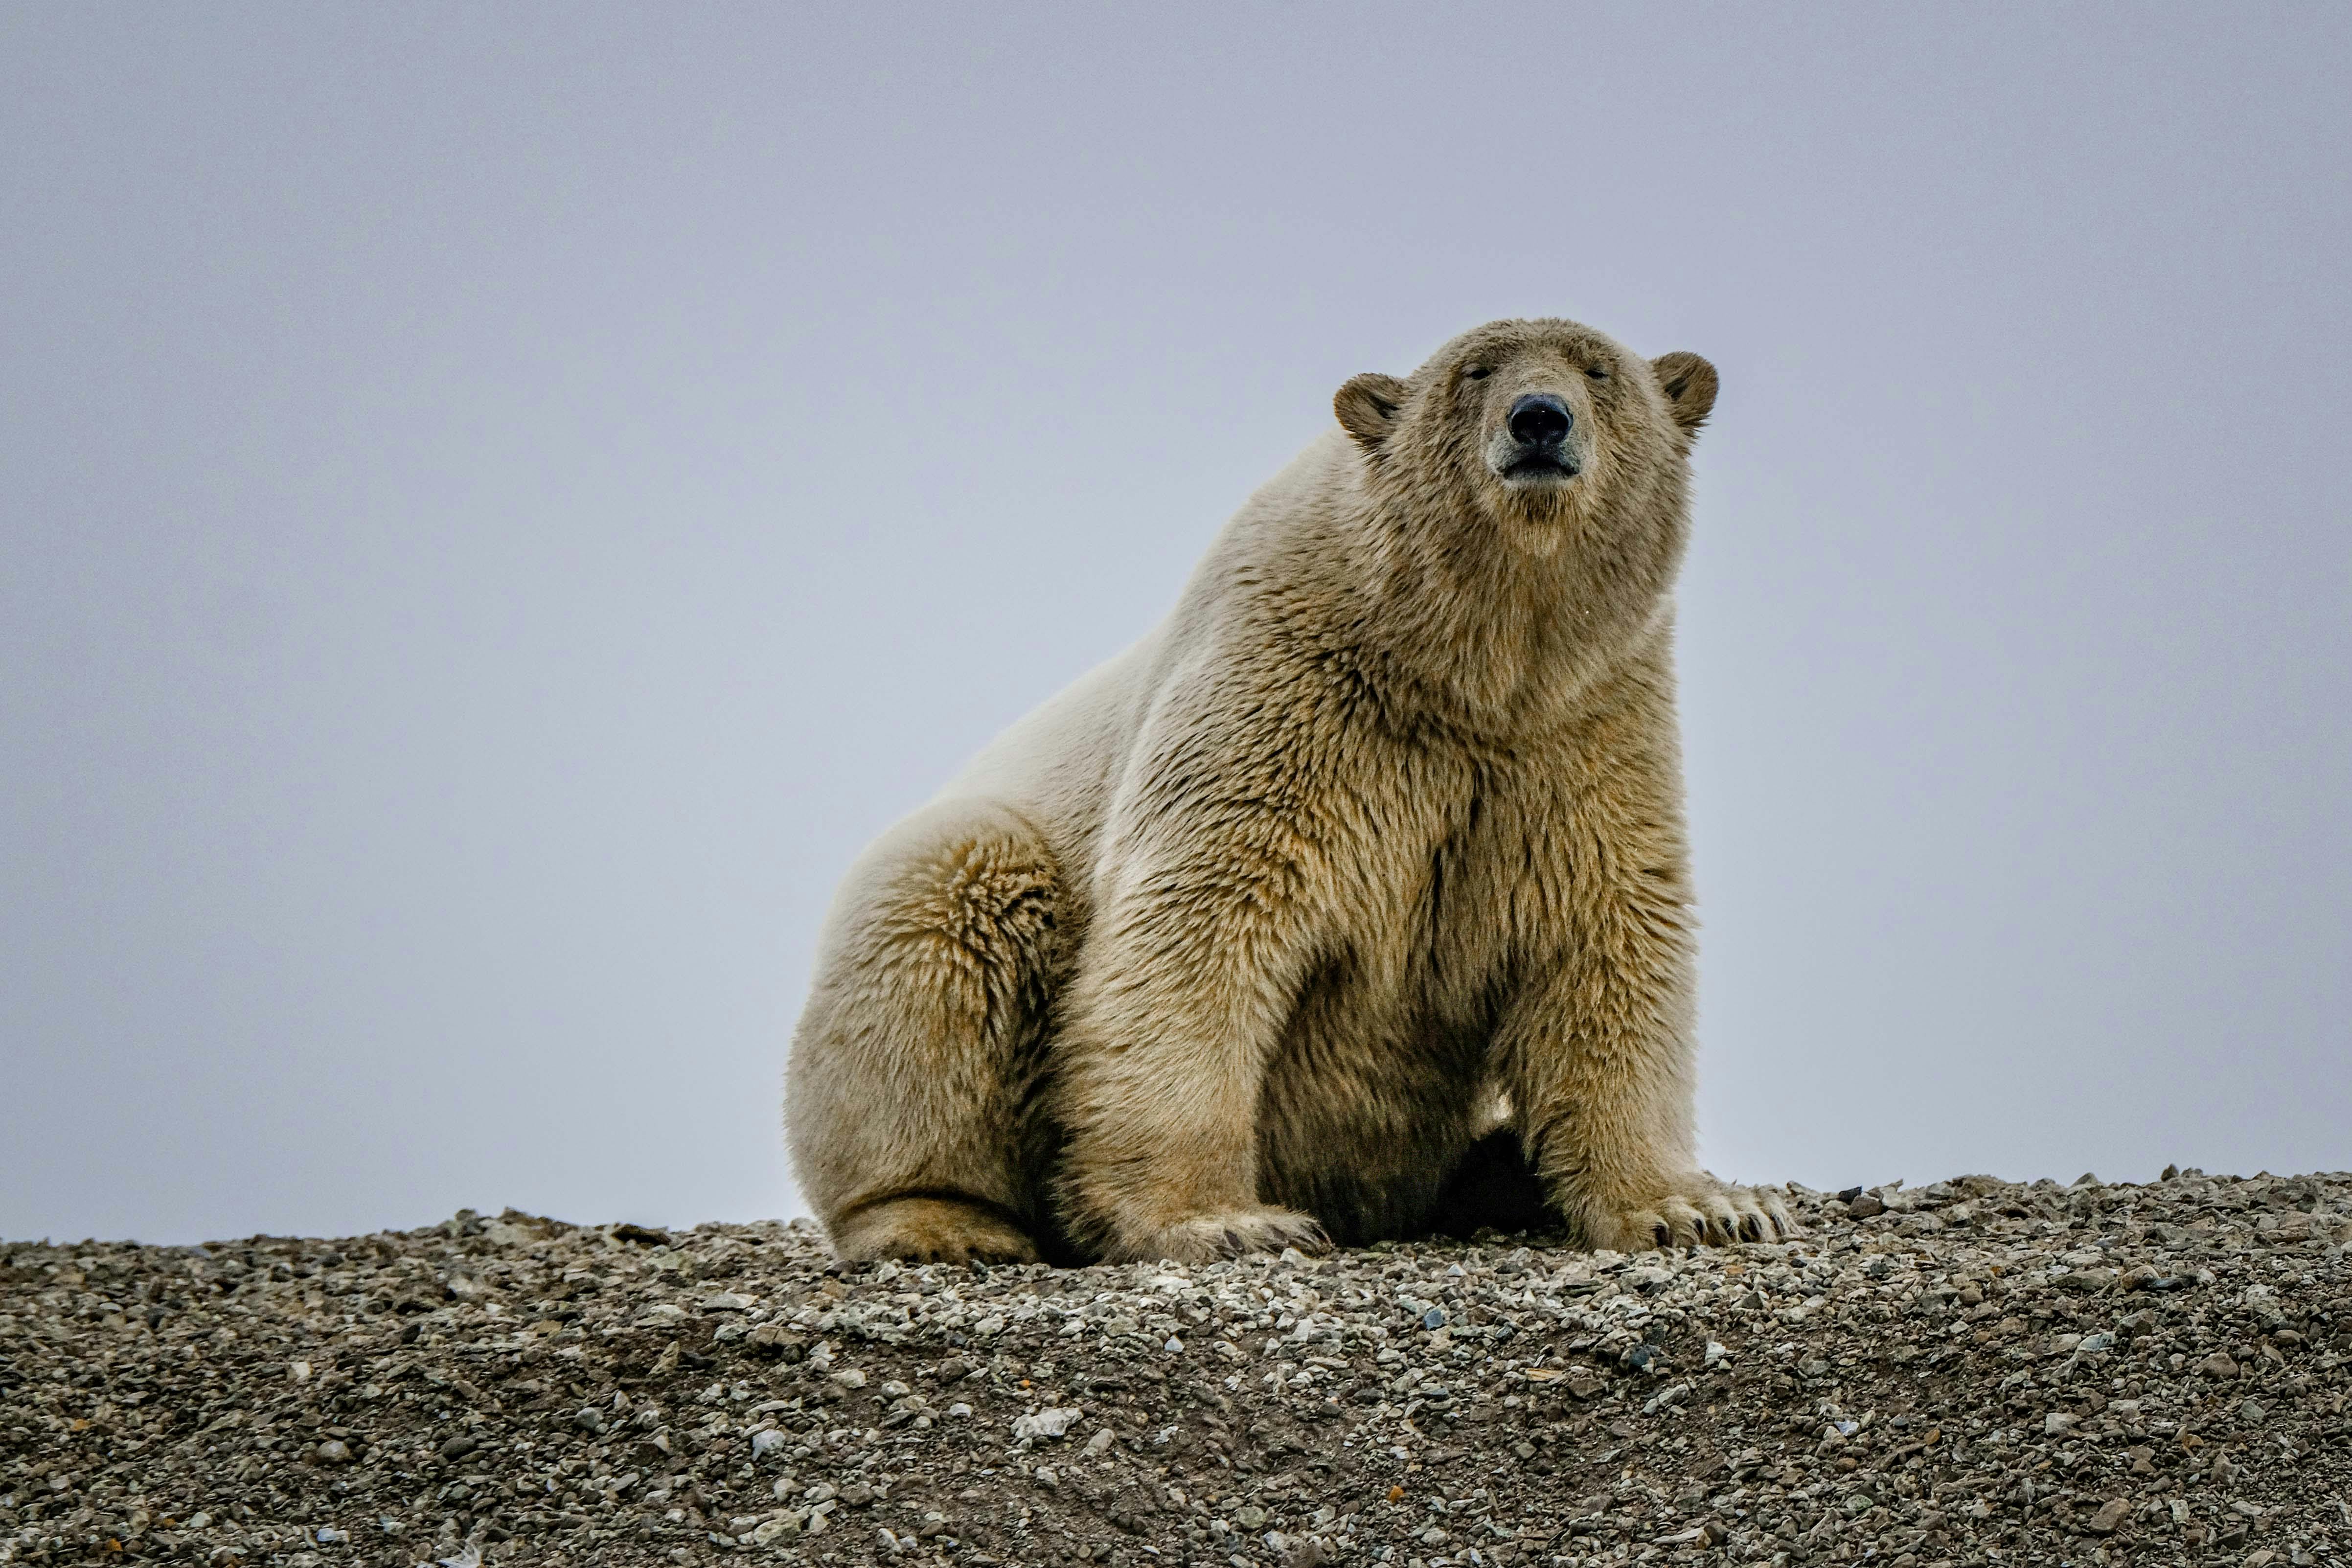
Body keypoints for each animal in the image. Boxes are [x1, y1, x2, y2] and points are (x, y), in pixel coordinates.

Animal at [785, 315, 1793, 1266]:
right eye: (1475, 370)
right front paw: (1225, 1221)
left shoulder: (1583, 734)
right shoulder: (1280, 696)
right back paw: (941, 1221)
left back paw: (1502, 1169)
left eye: (1596, 369)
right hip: (972, 876)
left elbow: (1605, 938)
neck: (1461, 668)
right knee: (944, 917)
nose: (1538, 419)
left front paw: (1702, 1207)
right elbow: (1198, 929)